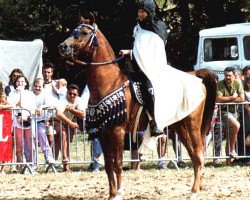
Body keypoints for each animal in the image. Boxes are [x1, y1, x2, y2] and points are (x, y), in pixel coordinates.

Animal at [58, 17, 217, 200]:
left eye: (84, 32)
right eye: (73, 31)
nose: (62, 47)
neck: (109, 83)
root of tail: (195, 77)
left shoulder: (117, 131)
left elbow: (118, 164)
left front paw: (119, 193)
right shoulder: (104, 133)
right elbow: (108, 165)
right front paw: (112, 194)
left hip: (191, 126)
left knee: (198, 155)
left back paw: (194, 192)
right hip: (180, 127)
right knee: (196, 156)